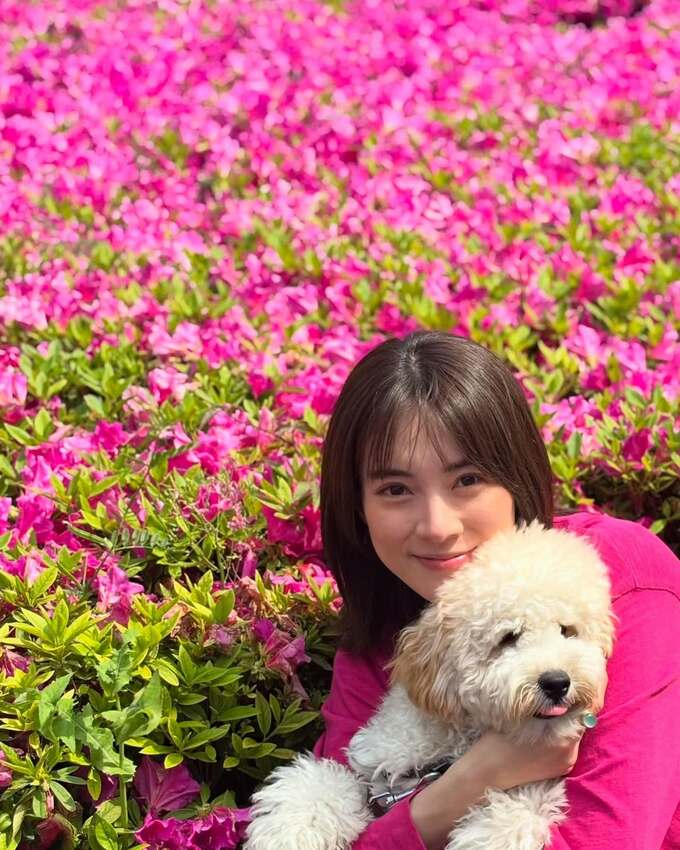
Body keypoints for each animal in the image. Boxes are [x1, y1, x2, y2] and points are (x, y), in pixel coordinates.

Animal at [244, 520, 615, 850]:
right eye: (508, 637)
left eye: (567, 630)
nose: (557, 682)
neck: (458, 742)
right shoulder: (377, 769)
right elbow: (325, 781)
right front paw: (287, 832)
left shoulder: (530, 785)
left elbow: (518, 806)